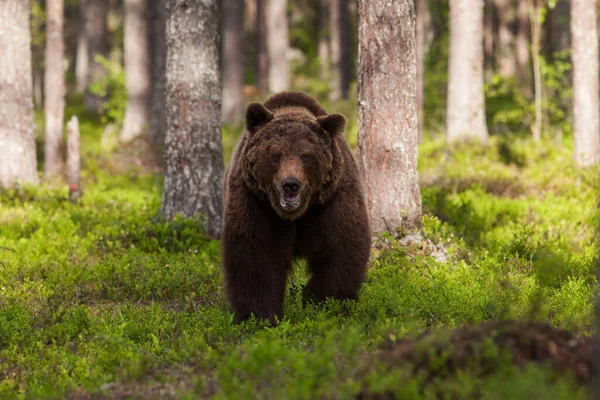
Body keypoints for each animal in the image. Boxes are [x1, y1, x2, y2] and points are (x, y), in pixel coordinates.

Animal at [220, 91, 370, 324]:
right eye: (276, 155)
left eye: (306, 156)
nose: (290, 184)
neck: (296, 214)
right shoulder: (255, 202)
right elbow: (255, 255)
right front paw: (258, 316)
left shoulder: (332, 200)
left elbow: (340, 249)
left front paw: (328, 303)